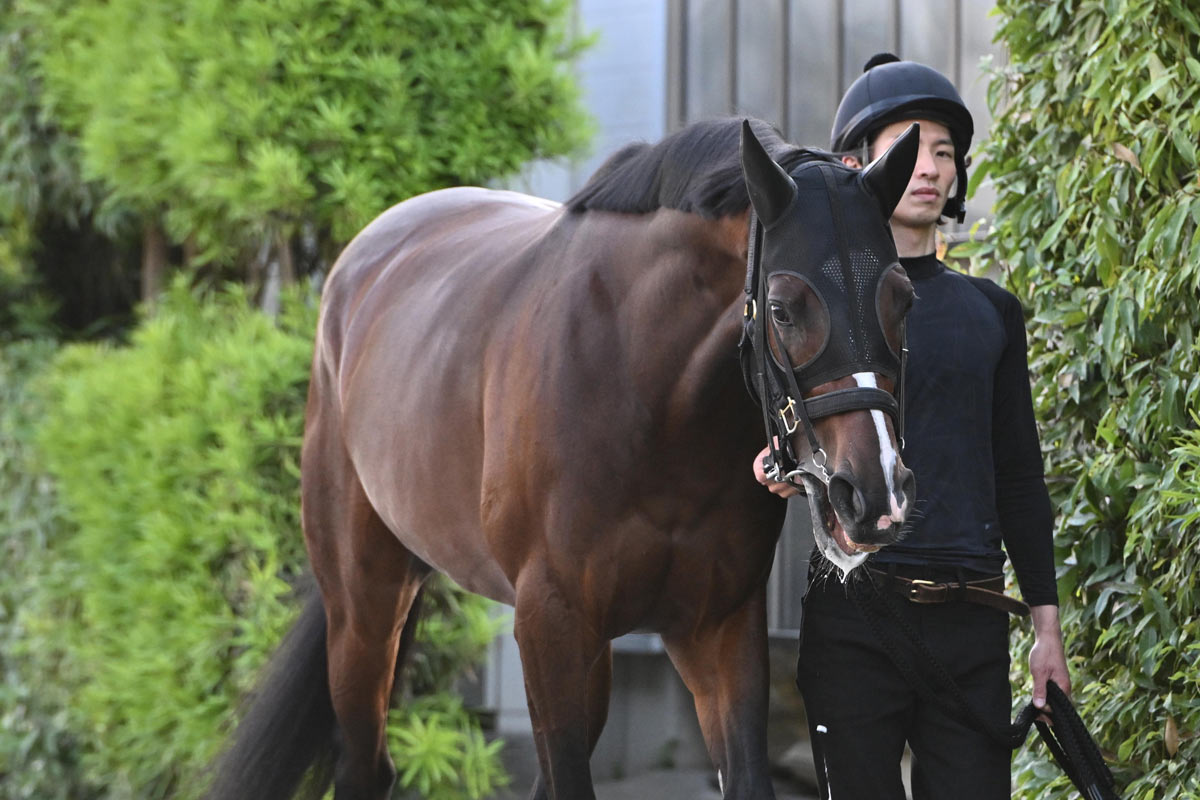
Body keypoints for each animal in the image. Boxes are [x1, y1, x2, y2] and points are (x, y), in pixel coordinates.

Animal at [204, 117, 919, 800]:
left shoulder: (719, 628)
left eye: (903, 298)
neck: (645, 393)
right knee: (362, 766)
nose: (874, 495)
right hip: (364, 606)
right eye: (782, 308)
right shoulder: (548, 622)